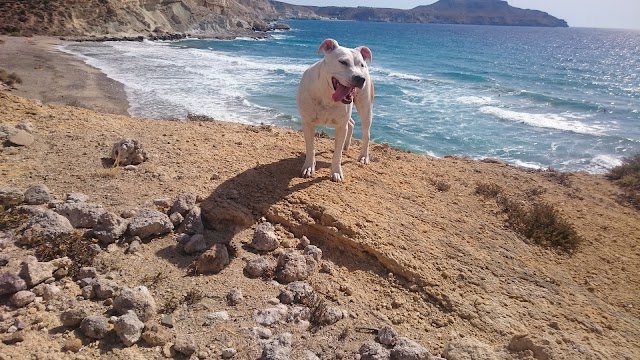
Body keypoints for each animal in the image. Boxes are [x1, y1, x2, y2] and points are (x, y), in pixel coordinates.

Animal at [296, 38, 372, 183]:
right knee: (351, 122)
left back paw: (363, 156)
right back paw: (346, 145)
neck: (327, 95)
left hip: (366, 107)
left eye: (362, 65)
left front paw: (336, 172)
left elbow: (337, 153)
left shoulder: (341, 126)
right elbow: (310, 147)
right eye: (343, 62)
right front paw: (309, 167)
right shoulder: (307, 123)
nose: (360, 78)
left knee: (366, 133)